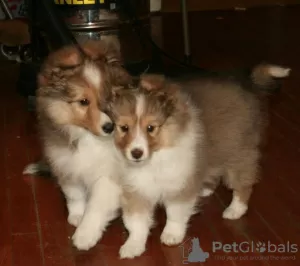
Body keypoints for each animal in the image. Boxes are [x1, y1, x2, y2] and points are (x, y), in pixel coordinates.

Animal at [29, 39, 131, 249]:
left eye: (110, 96)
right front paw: (77, 215)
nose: (109, 127)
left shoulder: (109, 176)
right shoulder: (67, 164)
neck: (88, 139)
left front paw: (85, 235)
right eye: (84, 101)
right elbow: (73, 194)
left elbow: (97, 206)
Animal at [106, 62, 290, 258]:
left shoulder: (180, 183)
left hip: (238, 153)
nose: (136, 153)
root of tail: (249, 85)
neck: (155, 158)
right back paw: (205, 189)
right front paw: (133, 246)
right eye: (124, 128)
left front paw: (172, 235)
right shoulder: (135, 189)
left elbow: (175, 213)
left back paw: (235, 209)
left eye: (151, 128)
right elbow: (136, 222)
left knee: (243, 185)